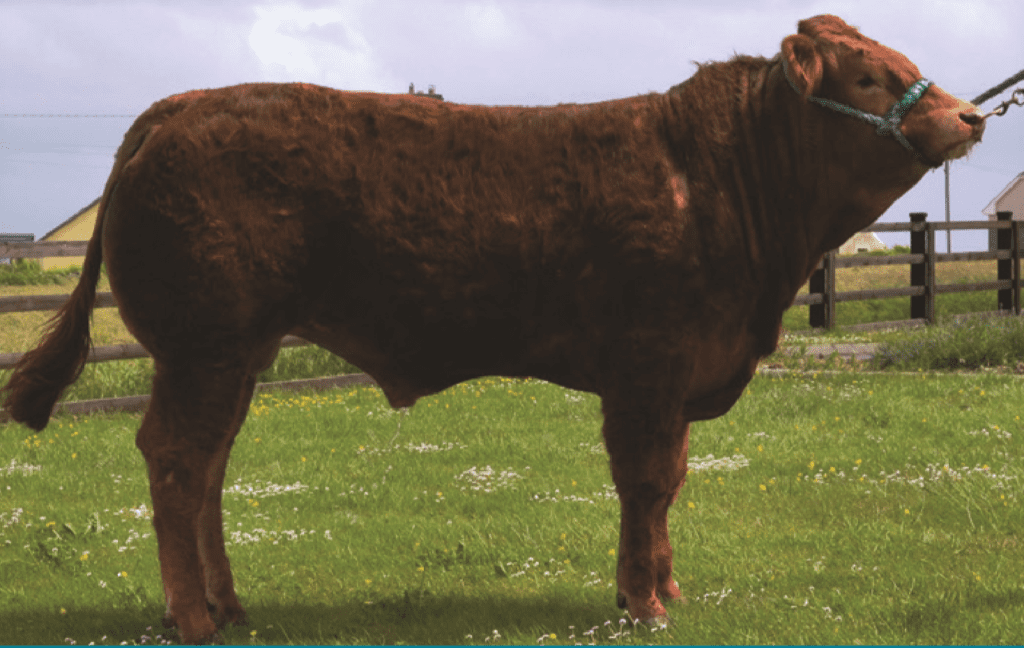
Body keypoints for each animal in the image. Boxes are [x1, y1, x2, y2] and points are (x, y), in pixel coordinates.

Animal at [2, 14, 984, 643]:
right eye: (868, 74)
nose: (971, 114)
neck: (716, 179)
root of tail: (183, 105)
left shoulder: (671, 376)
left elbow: (666, 486)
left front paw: (660, 586)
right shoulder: (651, 369)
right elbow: (648, 484)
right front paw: (646, 603)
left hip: (234, 355)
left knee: (206, 468)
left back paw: (230, 607)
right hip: (204, 348)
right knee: (177, 464)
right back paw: (194, 618)